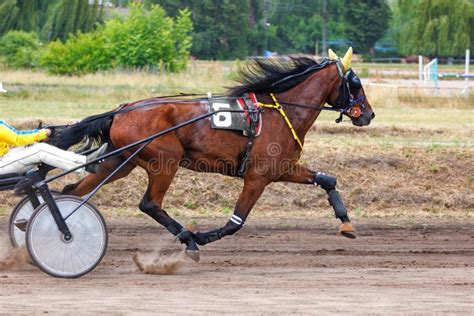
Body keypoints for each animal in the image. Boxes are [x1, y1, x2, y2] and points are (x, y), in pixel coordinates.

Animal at [52, 48, 374, 262]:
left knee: (74, 190)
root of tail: (121, 110)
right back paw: (188, 239)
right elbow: (236, 222)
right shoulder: (257, 177)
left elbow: (327, 179)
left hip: (119, 162)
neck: (281, 110)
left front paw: (346, 223)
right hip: (164, 162)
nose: (368, 114)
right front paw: (201, 237)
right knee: (150, 204)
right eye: (355, 82)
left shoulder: (283, 168)